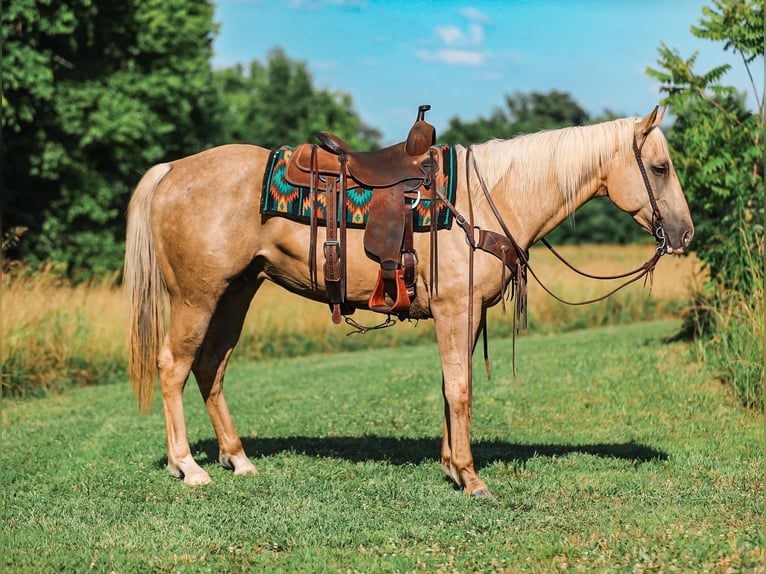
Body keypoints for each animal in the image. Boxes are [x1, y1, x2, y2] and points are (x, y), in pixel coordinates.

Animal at [124, 106, 693, 498]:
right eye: (660, 168)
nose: (684, 234)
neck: (487, 200)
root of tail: (172, 170)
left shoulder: (465, 315)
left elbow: (450, 386)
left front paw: (451, 467)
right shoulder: (455, 310)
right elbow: (460, 390)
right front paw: (472, 478)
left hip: (237, 291)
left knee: (211, 368)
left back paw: (237, 458)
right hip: (197, 296)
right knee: (173, 366)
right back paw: (188, 466)